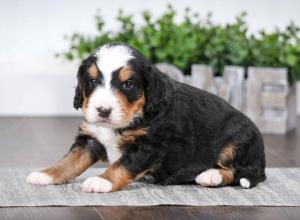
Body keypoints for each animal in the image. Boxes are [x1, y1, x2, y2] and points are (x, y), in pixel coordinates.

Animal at [27, 43, 266, 192]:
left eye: (128, 84)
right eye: (92, 81)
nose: (103, 110)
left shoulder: (149, 145)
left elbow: (122, 165)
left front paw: (102, 181)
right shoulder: (91, 138)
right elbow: (69, 161)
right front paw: (46, 174)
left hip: (238, 137)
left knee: (239, 172)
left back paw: (210, 176)